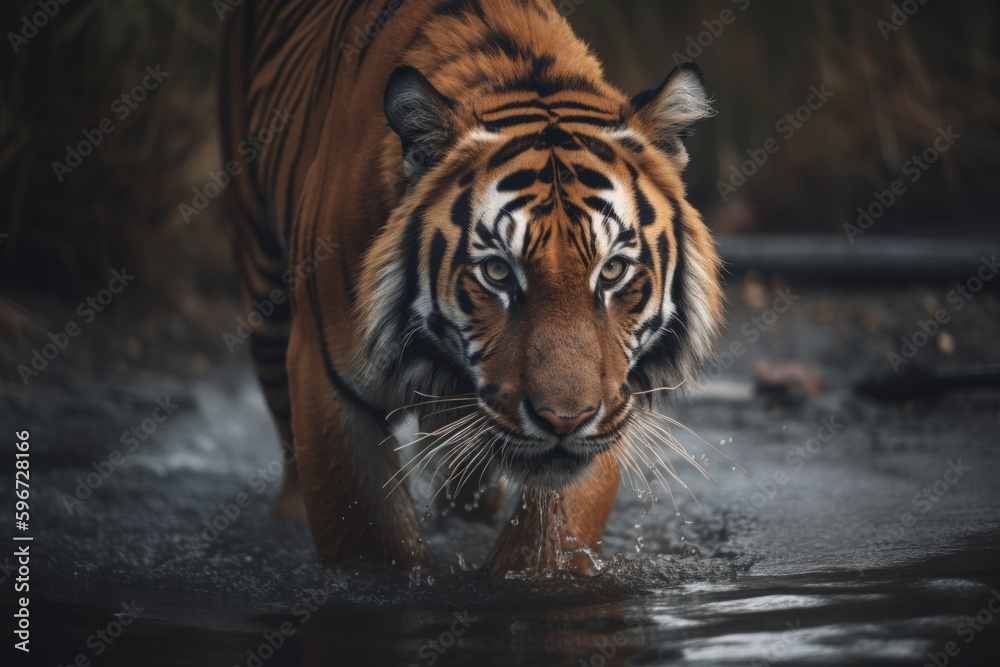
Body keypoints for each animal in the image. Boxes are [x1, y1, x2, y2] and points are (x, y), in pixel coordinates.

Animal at [218, 0, 723, 577]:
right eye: (498, 273)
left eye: (613, 270)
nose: (565, 421)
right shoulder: (325, 381)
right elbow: (370, 544)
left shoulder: (613, 398)